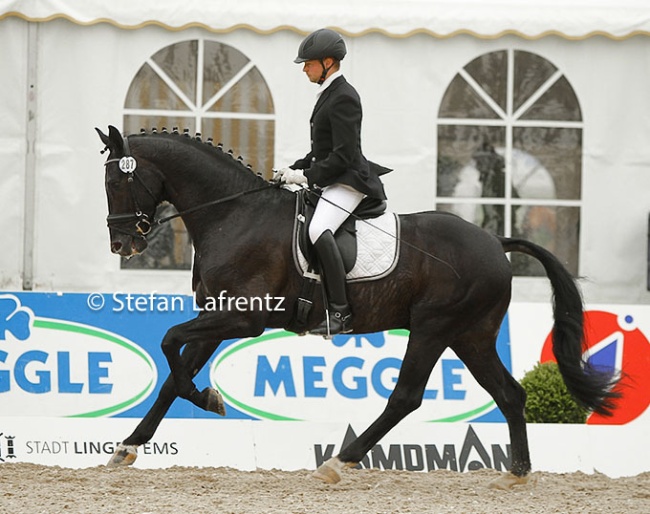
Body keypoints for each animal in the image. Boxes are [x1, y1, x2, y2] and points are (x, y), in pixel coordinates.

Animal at [93, 126, 616, 486]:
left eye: (118, 182)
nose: (121, 245)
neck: (233, 214)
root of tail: (495, 240)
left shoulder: (244, 318)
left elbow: (169, 343)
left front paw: (207, 399)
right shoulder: (217, 317)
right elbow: (172, 375)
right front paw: (128, 446)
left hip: (435, 328)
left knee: (406, 396)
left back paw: (338, 461)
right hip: (471, 335)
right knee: (509, 394)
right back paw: (518, 473)